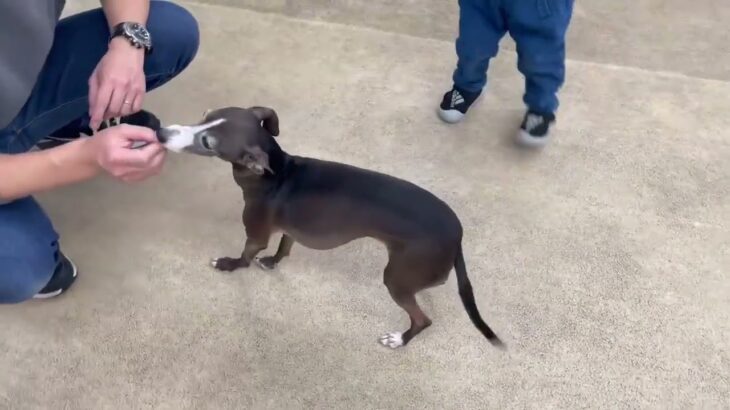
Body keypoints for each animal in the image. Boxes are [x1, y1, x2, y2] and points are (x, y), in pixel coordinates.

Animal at [156, 106, 504, 350]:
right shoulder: (291, 228)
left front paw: (228, 264)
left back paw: (399, 339)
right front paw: (273, 262)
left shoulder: (256, 234)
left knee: (423, 319)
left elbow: (245, 256)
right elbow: (284, 248)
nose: (160, 133)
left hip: (397, 278)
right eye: (204, 116)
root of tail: (457, 236)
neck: (276, 172)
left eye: (207, 142)